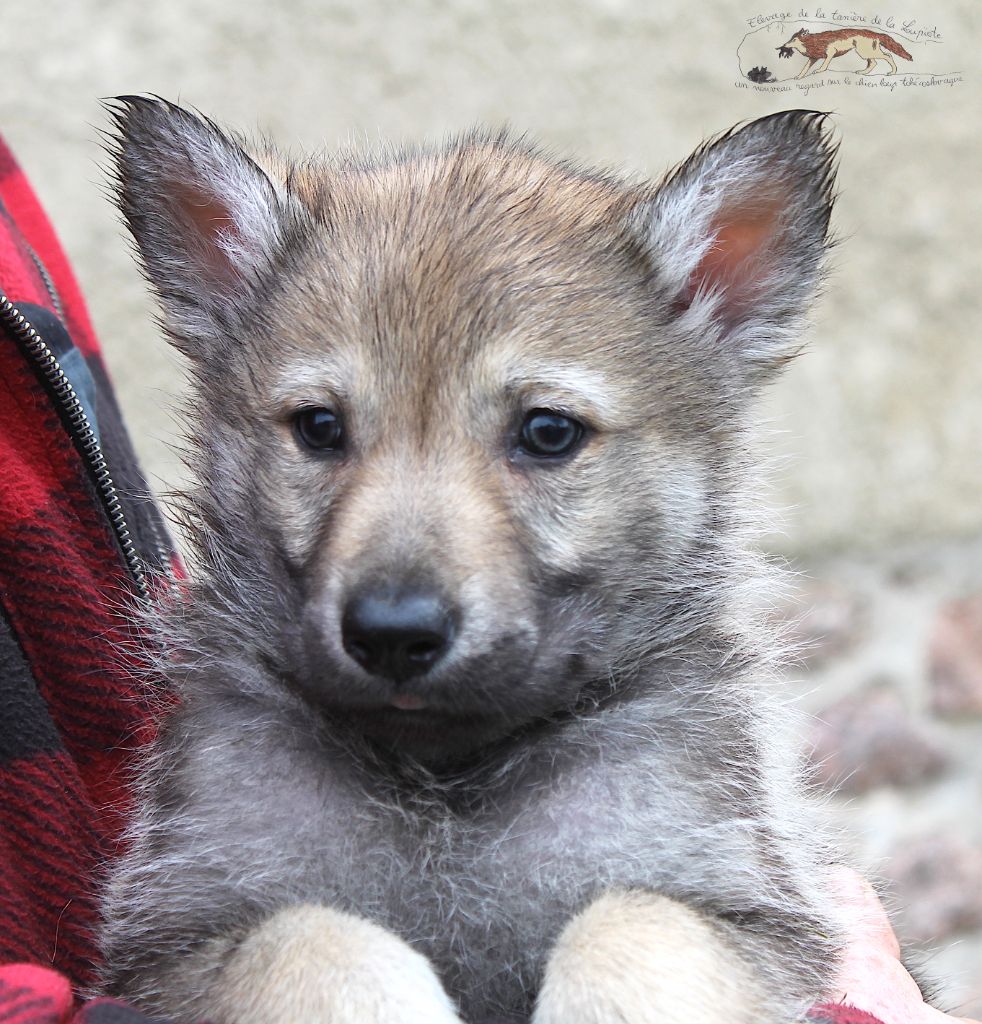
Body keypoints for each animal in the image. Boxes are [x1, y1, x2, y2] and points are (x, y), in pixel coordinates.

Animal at [99, 101, 843, 1024]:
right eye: (319, 427)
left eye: (548, 432)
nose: (392, 635)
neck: (445, 778)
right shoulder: (174, 940)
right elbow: (313, 939)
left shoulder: (738, 906)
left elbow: (634, 926)